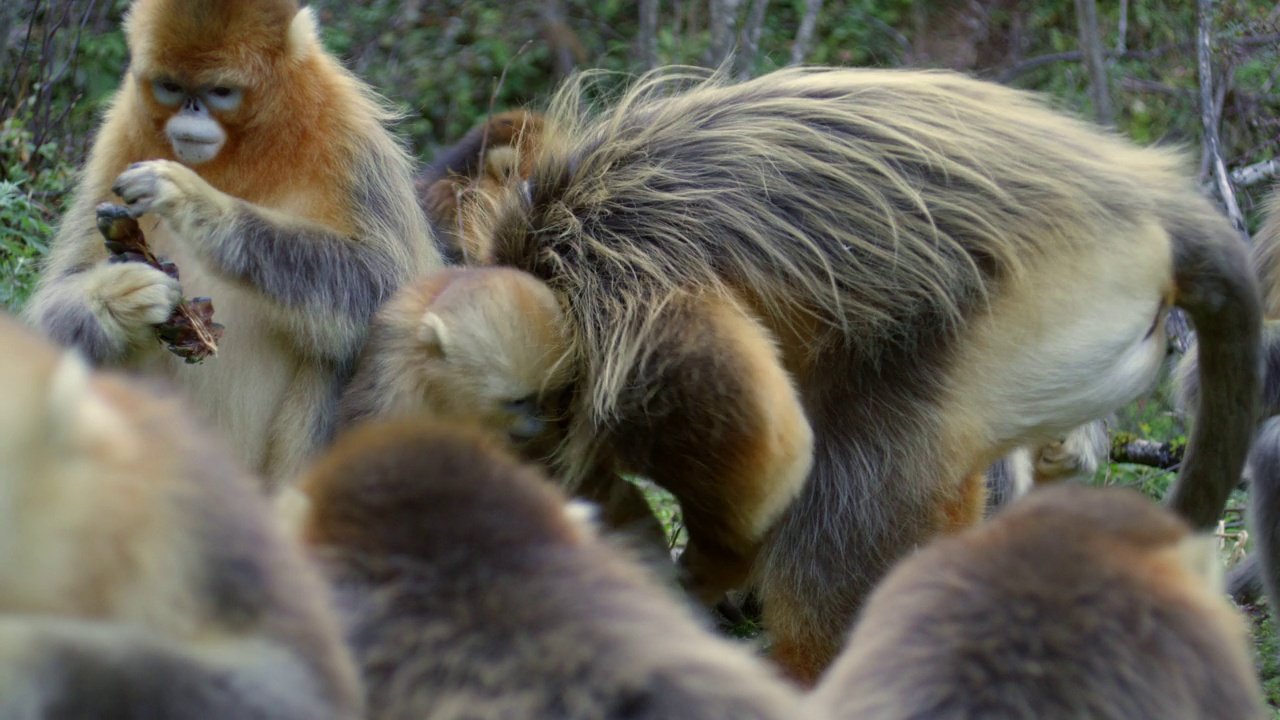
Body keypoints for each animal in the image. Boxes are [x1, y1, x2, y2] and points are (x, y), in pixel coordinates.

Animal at [21, 0, 435, 486]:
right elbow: (49, 318)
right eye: (171, 86)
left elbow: (387, 286)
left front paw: (197, 202)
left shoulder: (347, 132)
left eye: (220, 91)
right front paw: (120, 296)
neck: (242, 150)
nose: (192, 109)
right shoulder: (120, 133)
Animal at [471, 65, 1259, 676]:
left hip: (1035, 303)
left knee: (851, 475)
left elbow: (768, 440)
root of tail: (1156, 205)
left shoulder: (617, 281)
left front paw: (713, 566)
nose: (535, 445)